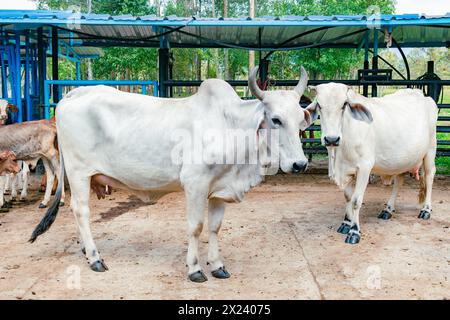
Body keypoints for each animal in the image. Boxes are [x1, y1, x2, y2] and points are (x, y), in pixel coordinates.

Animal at [30, 66, 312, 282]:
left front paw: (218, 265)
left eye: (300, 120)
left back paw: (85, 250)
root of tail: (72, 94)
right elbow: (196, 227)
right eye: (275, 119)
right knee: (81, 210)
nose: (300, 164)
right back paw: (95, 257)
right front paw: (195, 269)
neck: (229, 126)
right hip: (79, 173)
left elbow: (215, 227)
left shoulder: (219, 188)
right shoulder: (195, 184)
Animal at [308, 84, 438, 244]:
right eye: (319, 105)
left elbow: (356, 200)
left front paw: (354, 231)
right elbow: (348, 197)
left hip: (430, 150)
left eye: (344, 104)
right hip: (403, 159)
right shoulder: (347, 170)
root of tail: (423, 96)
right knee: (399, 181)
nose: (332, 139)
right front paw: (346, 223)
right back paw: (387, 209)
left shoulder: (364, 167)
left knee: (429, 176)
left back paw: (426, 210)